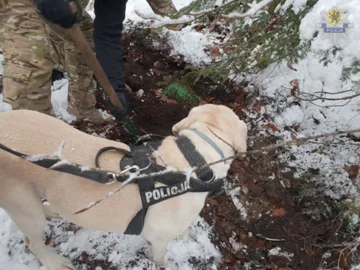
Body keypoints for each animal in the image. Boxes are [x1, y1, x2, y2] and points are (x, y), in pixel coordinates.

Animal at [0, 104, 248, 270]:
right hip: (22, 204)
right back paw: (55, 262)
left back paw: (52, 212)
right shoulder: (158, 239)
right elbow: (160, 257)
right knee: (33, 242)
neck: (195, 158)